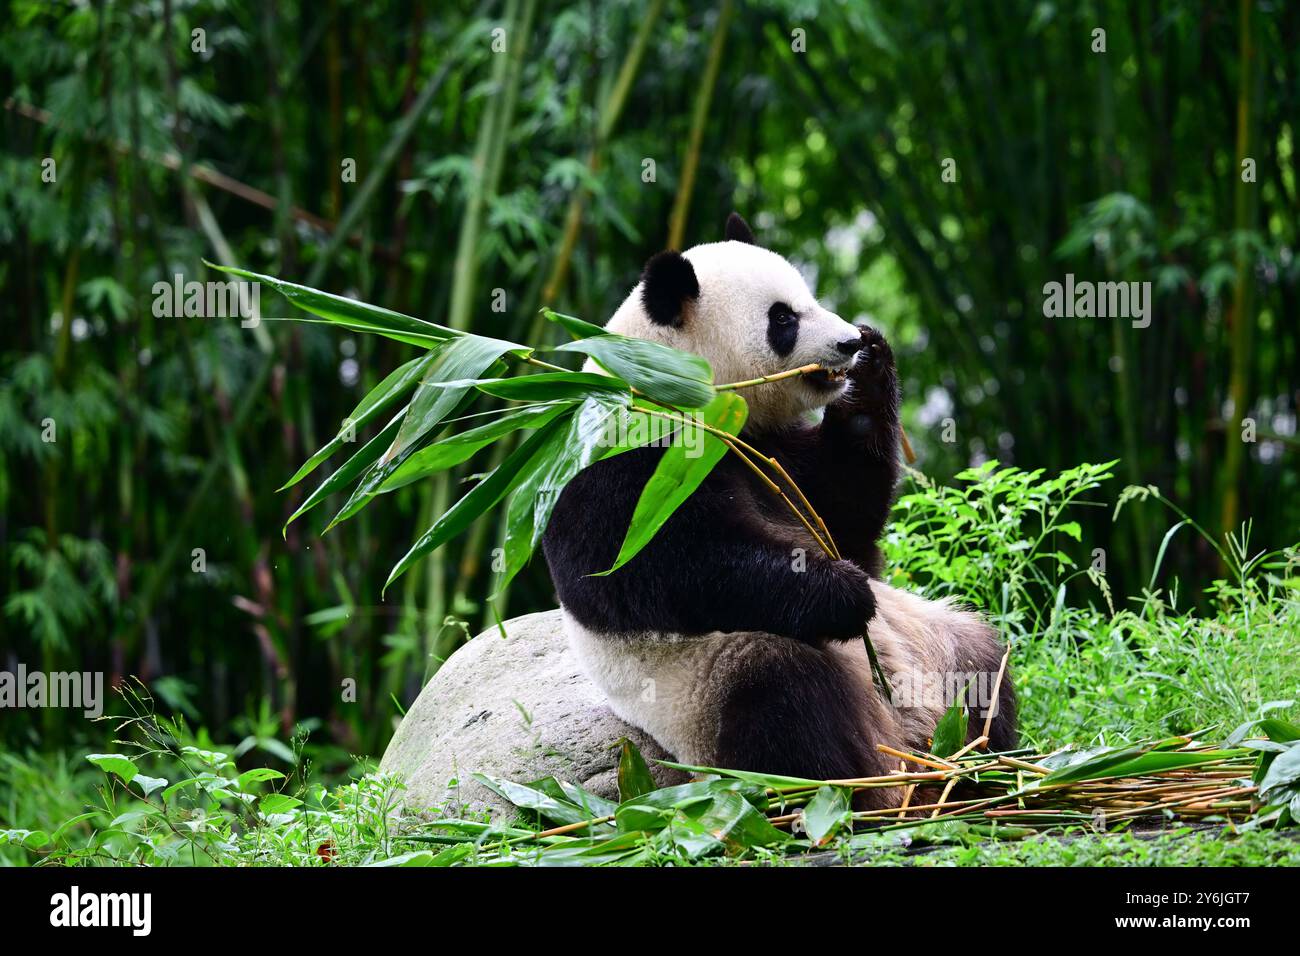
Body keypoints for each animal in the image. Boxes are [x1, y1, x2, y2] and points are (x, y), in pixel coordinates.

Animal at [538, 214, 1013, 806]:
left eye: (810, 297)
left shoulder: (776, 452)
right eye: (783, 318)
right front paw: (843, 592)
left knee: (982, 664)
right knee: (787, 702)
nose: (849, 341)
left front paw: (873, 367)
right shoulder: (625, 460)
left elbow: (845, 510)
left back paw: (989, 768)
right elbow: (665, 567)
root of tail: (906, 742)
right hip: (707, 687)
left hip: (931, 639)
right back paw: (851, 795)